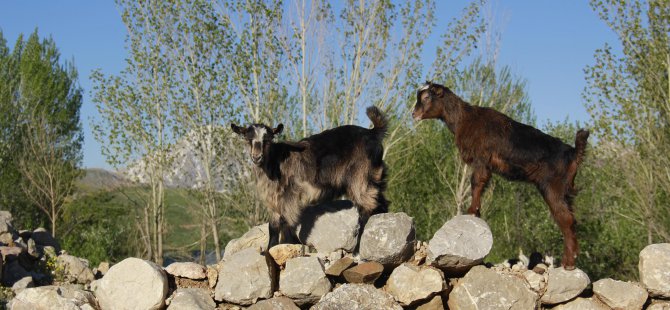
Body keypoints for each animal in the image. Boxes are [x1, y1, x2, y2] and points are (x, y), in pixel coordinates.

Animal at [232, 106, 388, 249]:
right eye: (248, 139)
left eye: (268, 140)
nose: (257, 157)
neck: (275, 161)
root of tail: (373, 133)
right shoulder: (274, 199)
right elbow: (273, 226)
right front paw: (270, 249)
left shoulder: (290, 195)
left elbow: (287, 222)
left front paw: (288, 244)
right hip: (373, 177)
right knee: (381, 202)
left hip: (360, 177)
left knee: (368, 205)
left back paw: (358, 245)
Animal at [412, 81, 592, 270]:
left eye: (426, 97)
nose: (413, 114)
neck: (465, 119)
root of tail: (572, 152)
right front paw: (476, 211)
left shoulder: (481, 159)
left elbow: (477, 182)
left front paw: (472, 211)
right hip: (565, 193)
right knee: (571, 220)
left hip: (552, 187)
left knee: (565, 220)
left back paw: (568, 263)